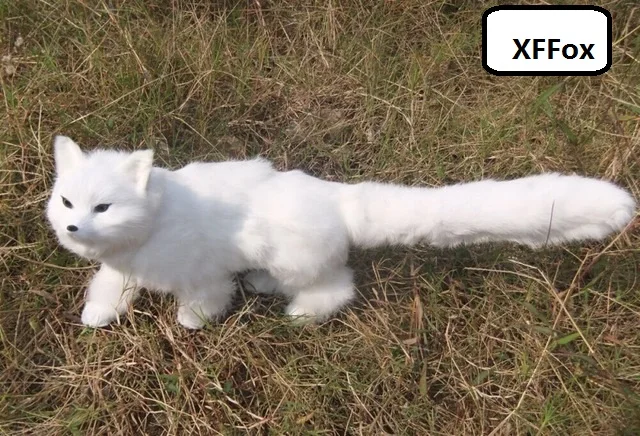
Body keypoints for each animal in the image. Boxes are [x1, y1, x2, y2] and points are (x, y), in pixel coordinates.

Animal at [46, 136, 637, 329]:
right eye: (67, 201)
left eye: (104, 206)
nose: (74, 226)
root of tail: (338, 198)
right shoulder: (120, 267)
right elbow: (108, 288)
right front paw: (97, 316)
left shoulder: (204, 273)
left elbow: (205, 301)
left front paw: (192, 324)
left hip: (296, 260)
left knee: (338, 287)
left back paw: (300, 315)